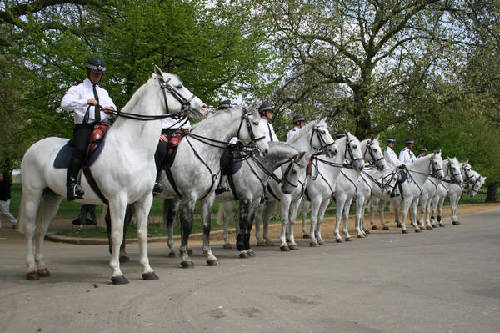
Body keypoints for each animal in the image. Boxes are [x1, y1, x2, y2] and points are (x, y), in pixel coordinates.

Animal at [17, 67, 204, 282]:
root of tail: (32, 148)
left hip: (52, 196)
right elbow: (117, 234)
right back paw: (31, 269)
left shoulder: (144, 199)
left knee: (42, 229)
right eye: (179, 86)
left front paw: (147, 270)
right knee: (31, 229)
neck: (133, 147)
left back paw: (42, 267)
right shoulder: (118, 199)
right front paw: (116, 272)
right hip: (33, 194)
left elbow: (141, 233)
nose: (202, 106)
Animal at [155, 105, 270, 266]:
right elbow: (187, 225)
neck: (202, 150)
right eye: (255, 123)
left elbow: (206, 225)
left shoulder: (208, 196)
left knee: (169, 218)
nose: (265, 149)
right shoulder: (190, 196)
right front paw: (186, 258)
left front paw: (210, 256)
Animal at [254, 118, 336, 249]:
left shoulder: (297, 199)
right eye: (322, 132)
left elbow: (291, 219)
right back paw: (259, 240)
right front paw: (284, 243)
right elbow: (284, 219)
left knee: (265, 218)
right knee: (256, 217)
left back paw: (267, 240)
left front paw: (291, 241)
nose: (335, 149)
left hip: (270, 200)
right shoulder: (287, 198)